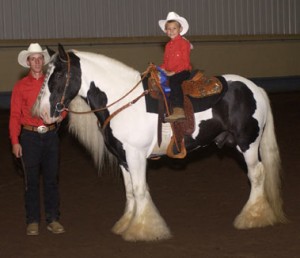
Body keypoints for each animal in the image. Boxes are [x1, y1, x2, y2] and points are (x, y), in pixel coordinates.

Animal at [32, 44, 286, 242]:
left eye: (58, 75)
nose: (43, 113)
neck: (122, 101)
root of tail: (255, 88)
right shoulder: (124, 158)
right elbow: (130, 191)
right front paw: (126, 223)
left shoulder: (135, 156)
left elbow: (139, 189)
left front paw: (143, 229)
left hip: (248, 144)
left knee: (257, 174)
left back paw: (252, 218)